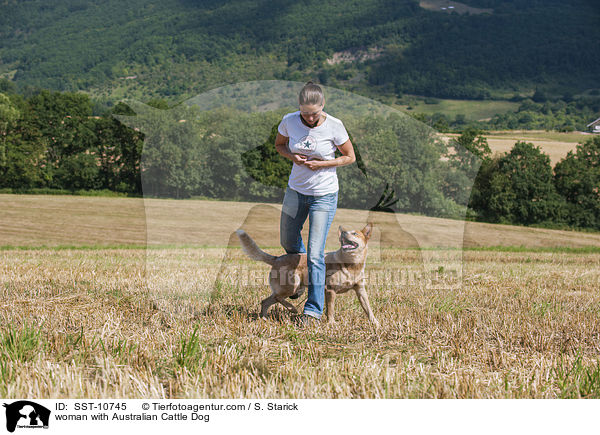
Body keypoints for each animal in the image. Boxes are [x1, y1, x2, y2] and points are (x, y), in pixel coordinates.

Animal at [236, 223, 380, 328]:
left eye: (355, 233)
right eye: (346, 232)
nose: (343, 232)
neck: (351, 266)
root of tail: (277, 258)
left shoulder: (360, 290)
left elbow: (368, 308)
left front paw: (375, 323)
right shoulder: (330, 290)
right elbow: (331, 309)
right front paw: (331, 323)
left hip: (286, 288)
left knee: (266, 301)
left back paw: (264, 319)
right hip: (292, 286)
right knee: (277, 297)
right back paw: (292, 309)